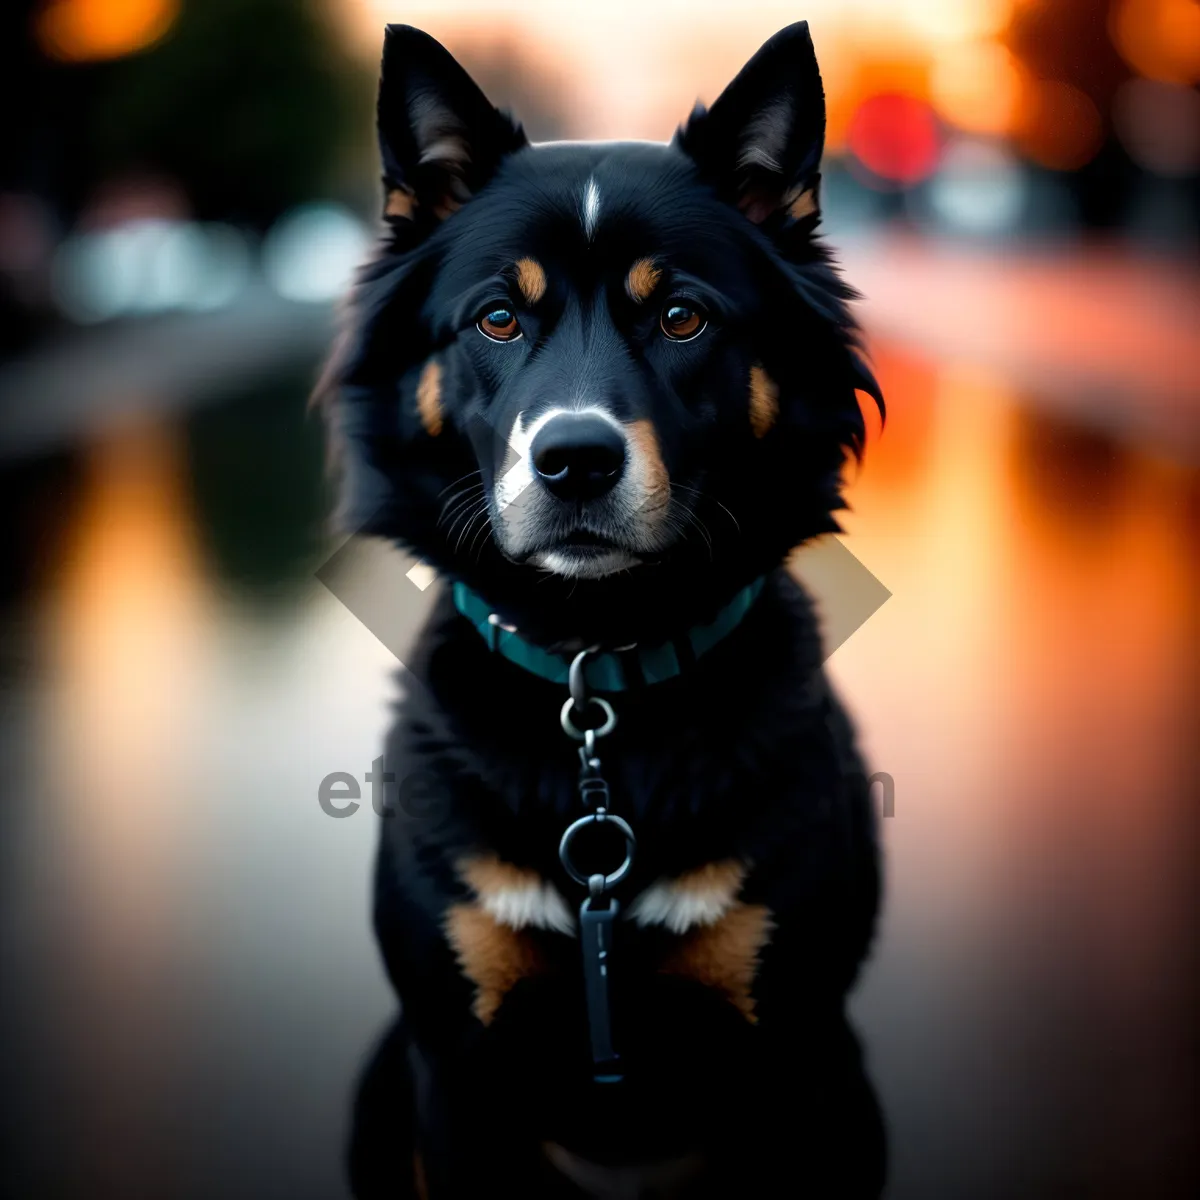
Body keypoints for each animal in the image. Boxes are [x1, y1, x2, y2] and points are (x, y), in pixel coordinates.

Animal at [324, 21, 888, 1200]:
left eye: (681, 315)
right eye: (498, 316)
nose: (575, 460)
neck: (598, 668)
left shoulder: (791, 1060)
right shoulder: (454, 1064)